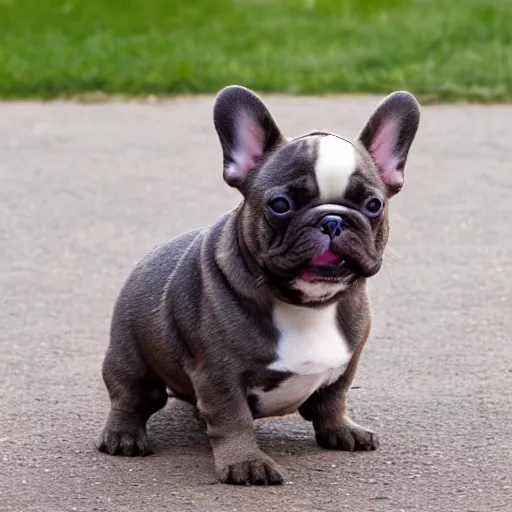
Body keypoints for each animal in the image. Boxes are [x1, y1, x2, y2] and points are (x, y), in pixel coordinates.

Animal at [97, 86, 420, 486]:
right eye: (280, 204)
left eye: (373, 204)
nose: (332, 220)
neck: (307, 306)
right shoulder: (219, 373)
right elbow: (231, 417)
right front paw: (246, 462)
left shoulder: (349, 362)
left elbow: (334, 398)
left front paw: (342, 429)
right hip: (129, 356)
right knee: (129, 397)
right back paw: (123, 436)